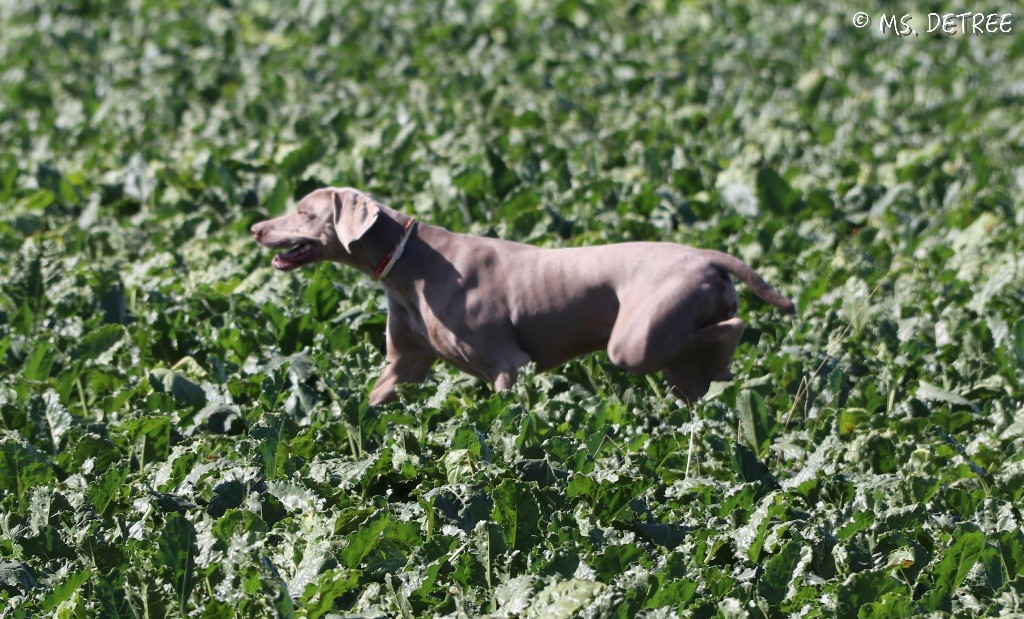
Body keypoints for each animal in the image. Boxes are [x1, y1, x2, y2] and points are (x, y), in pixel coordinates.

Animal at [251, 187, 794, 405]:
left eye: (304, 212)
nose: (256, 228)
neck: (406, 265)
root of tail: (707, 254)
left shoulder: (509, 365)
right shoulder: (405, 365)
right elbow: (375, 399)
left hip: (636, 340)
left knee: (731, 329)